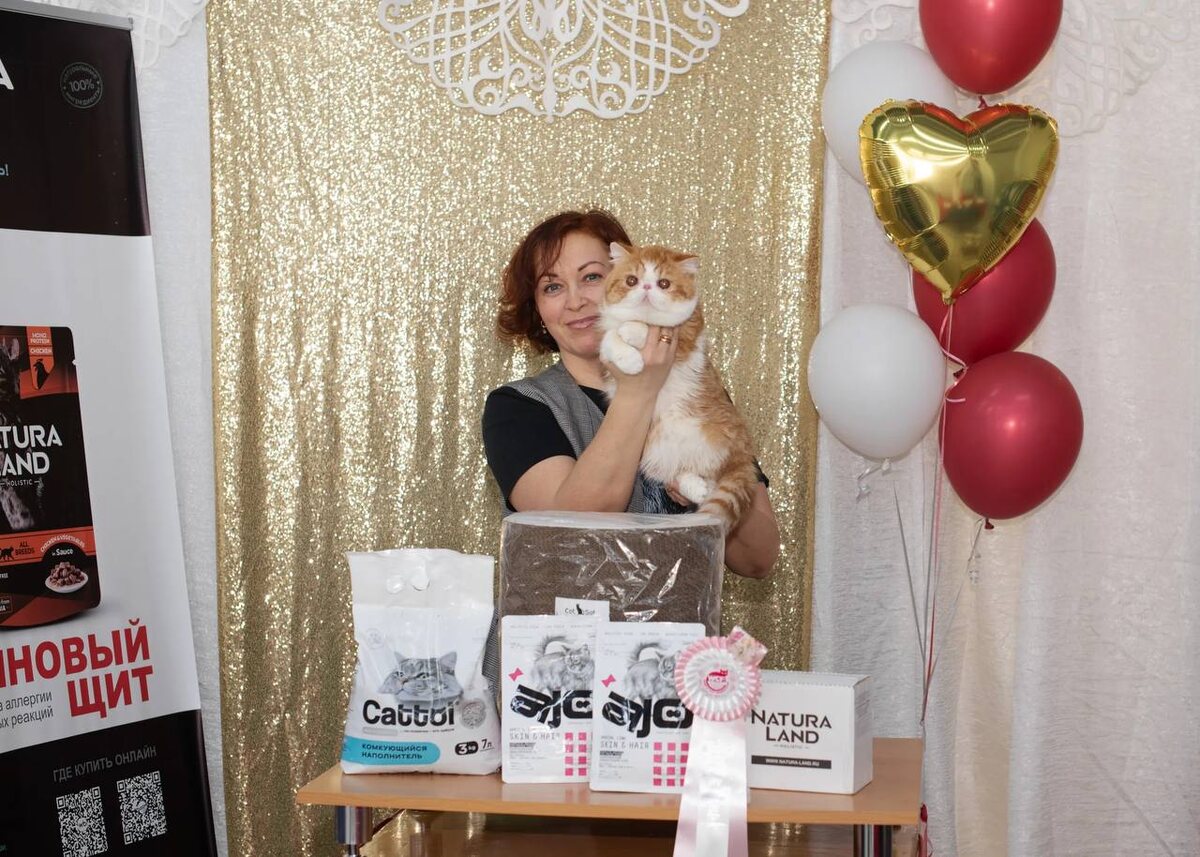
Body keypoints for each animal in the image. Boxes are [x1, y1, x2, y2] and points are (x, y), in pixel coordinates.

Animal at [598, 243, 759, 532]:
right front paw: (629, 358)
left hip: (715, 437)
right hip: (657, 451)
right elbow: (609, 338)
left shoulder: (686, 338)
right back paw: (696, 487)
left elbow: (647, 327)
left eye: (663, 283)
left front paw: (633, 330)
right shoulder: (605, 352)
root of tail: (742, 452)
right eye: (632, 280)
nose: (646, 287)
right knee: (685, 472)